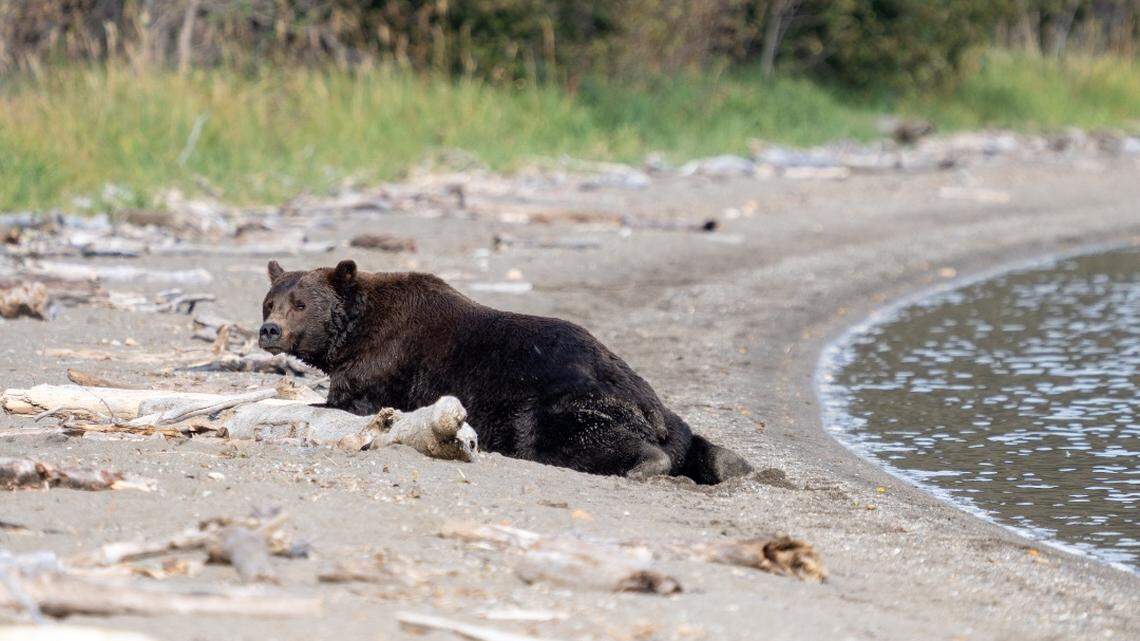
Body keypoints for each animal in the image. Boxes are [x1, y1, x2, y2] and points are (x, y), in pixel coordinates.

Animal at [259, 259, 752, 484]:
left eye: (300, 304)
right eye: (270, 302)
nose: (269, 330)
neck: (354, 332)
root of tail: (648, 409)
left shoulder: (385, 361)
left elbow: (351, 400)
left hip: (561, 401)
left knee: (572, 435)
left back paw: (644, 464)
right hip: (663, 411)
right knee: (695, 438)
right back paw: (730, 462)